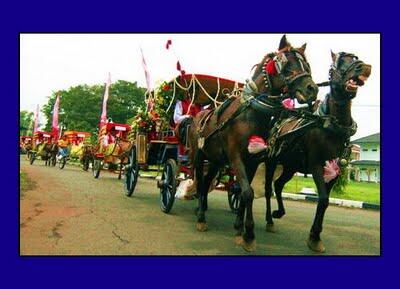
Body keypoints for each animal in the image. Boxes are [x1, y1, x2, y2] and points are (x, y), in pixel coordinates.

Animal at [188, 35, 318, 250]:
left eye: (307, 65)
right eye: (285, 64)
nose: (312, 89)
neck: (253, 112)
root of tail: (197, 116)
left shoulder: (254, 160)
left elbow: (242, 192)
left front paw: (239, 227)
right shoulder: (236, 157)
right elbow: (248, 192)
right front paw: (248, 234)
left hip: (215, 160)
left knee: (206, 182)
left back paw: (203, 208)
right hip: (198, 156)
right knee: (199, 181)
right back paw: (200, 217)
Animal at [262, 51, 372, 252]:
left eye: (355, 58)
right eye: (335, 66)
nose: (364, 67)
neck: (333, 126)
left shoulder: (336, 168)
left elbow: (325, 201)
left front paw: (315, 235)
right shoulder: (316, 165)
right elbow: (323, 199)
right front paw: (314, 236)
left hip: (290, 166)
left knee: (279, 185)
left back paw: (279, 212)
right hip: (272, 161)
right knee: (268, 189)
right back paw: (269, 220)